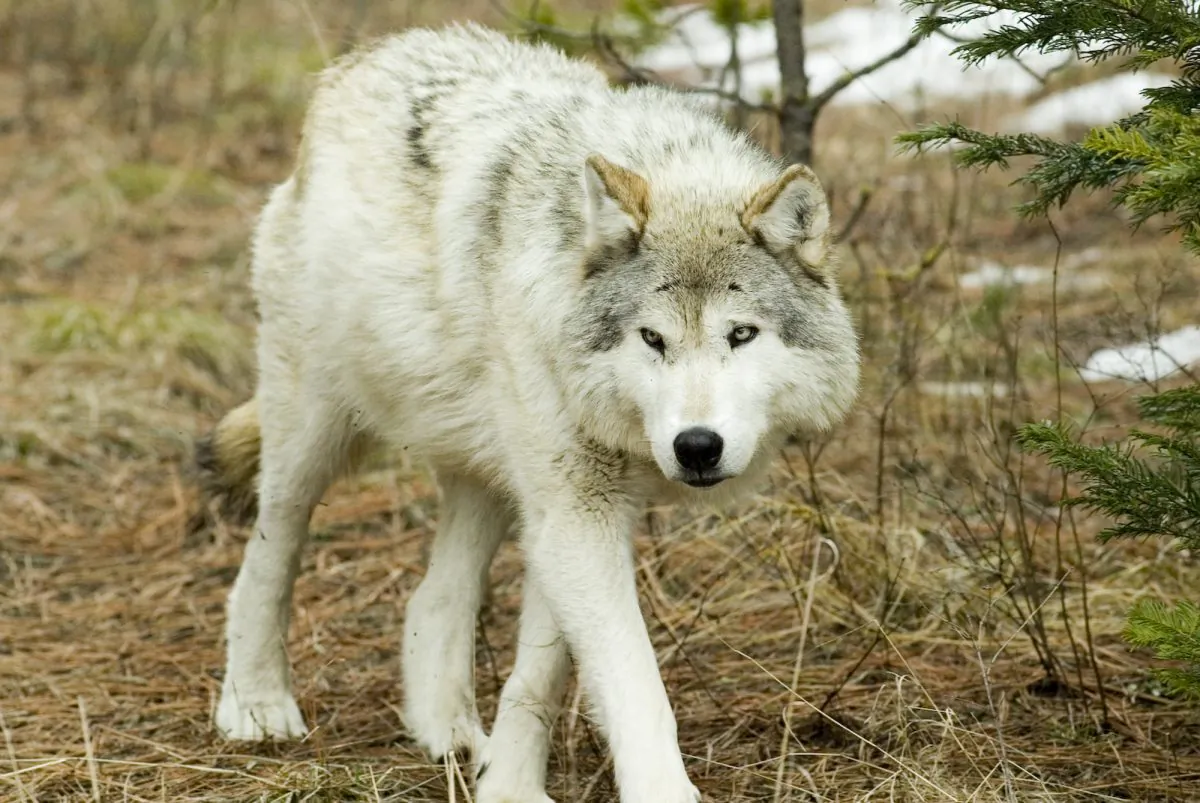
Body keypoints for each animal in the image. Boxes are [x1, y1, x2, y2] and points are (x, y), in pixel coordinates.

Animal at [198, 23, 859, 803]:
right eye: (652, 339)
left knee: (433, 600)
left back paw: (448, 733)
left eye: (742, 334)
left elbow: (541, 671)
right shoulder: (576, 510)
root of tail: (365, 56)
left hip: (492, 473)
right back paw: (257, 703)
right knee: (265, 561)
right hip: (313, 435)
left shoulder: (573, 513)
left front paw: (506, 781)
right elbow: (635, 685)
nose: (696, 446)